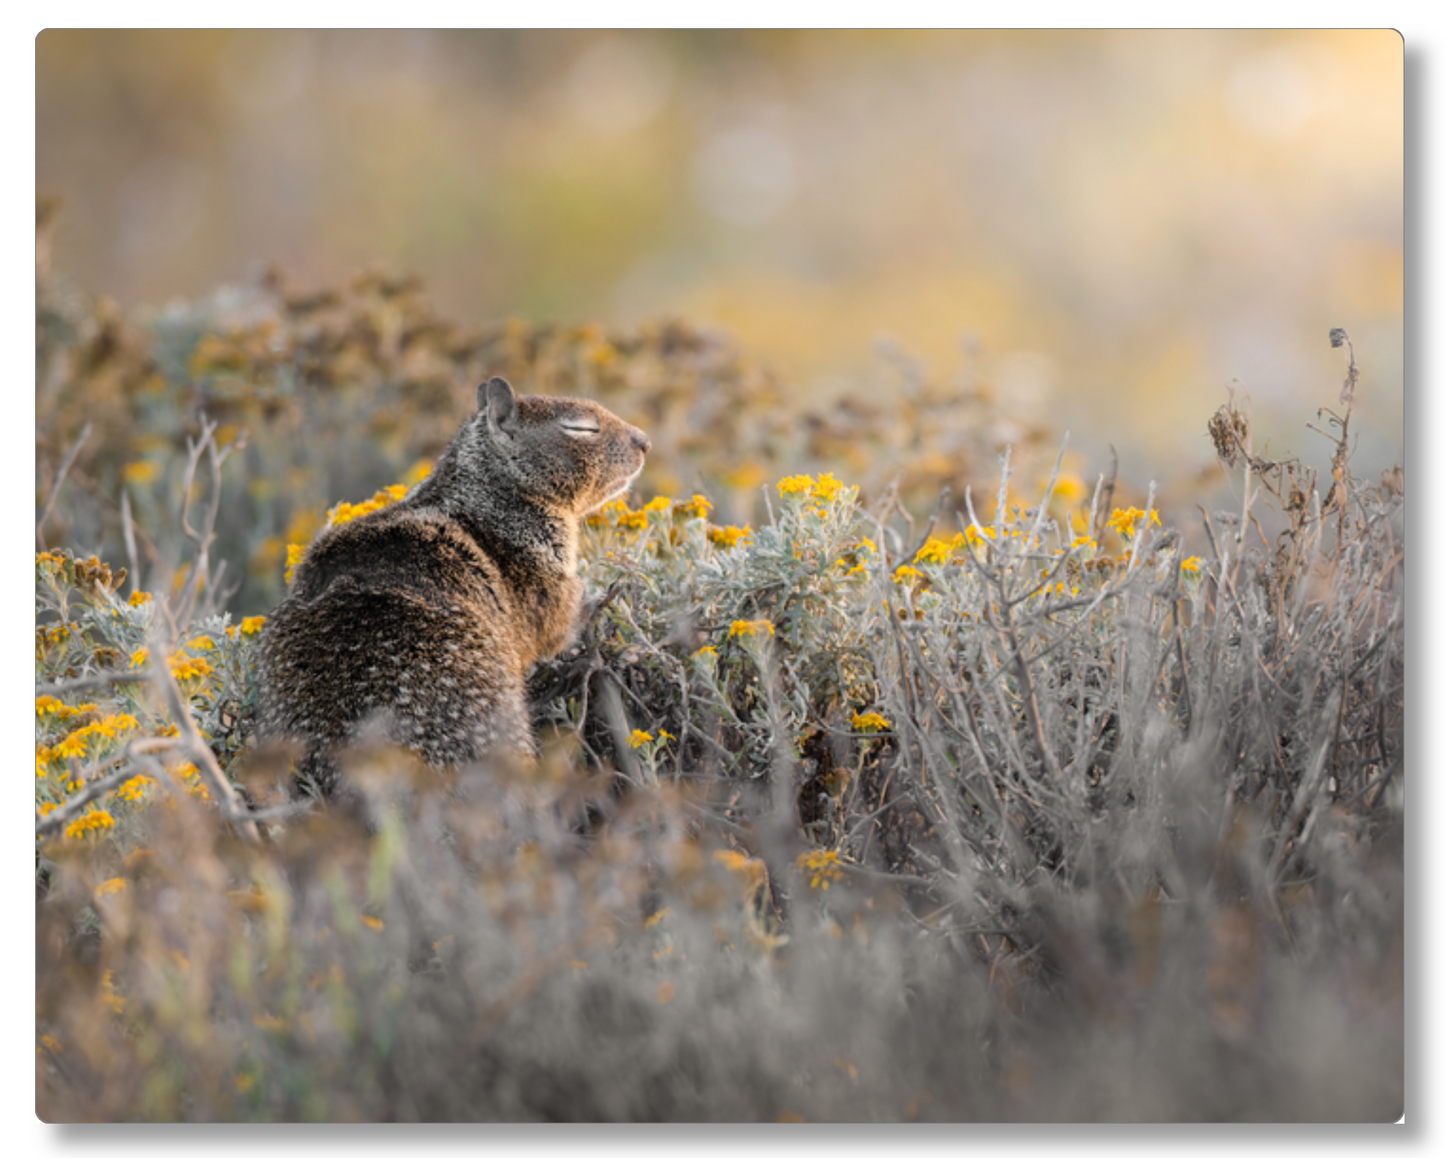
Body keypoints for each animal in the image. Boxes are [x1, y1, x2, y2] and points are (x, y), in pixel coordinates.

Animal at [254, 378, 650, 798]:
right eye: (581, 427)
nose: (645, 441)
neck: (484, 496)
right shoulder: (546, 580)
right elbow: (559, 628)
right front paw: (602, 601)